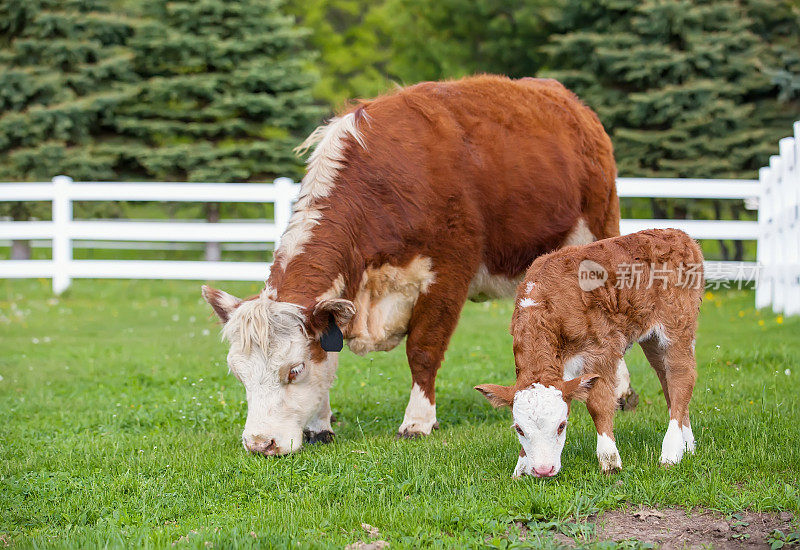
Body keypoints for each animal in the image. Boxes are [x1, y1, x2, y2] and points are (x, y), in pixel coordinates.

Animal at [202, 75, 636, 460]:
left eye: (294, 370)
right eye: (238, 374)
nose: (260, 444)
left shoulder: (446, 274)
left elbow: (423, 350)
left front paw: (418, 420)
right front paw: (318, 426)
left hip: (597, 233)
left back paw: (618, 389)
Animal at [472, 229, 704, 478]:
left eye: (561, 425)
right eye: (519, 429)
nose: (543, 470)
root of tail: (677, 234)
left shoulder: (601, 352)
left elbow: (599, 405)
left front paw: (609, 460)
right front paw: (522, 466)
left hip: (677, 326)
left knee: (681, 378)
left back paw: (671, 452)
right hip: (651, 339)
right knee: (667, 380)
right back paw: (687, 446)